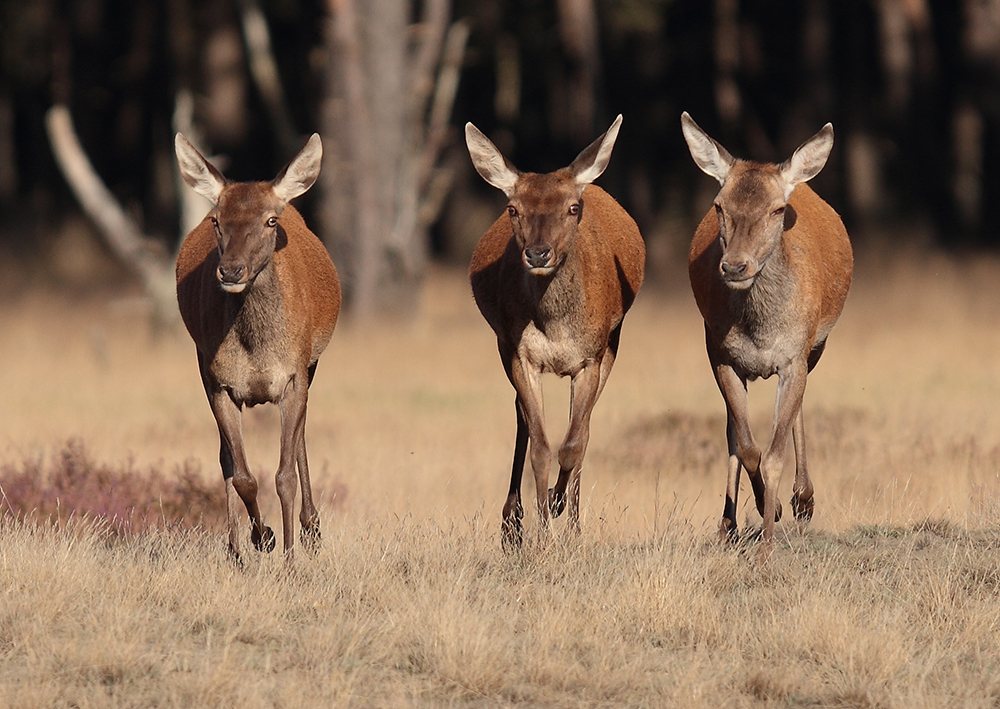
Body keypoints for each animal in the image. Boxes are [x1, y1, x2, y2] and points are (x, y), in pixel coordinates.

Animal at [174, 133, 342, 560]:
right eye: (216, 221)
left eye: (270, 220)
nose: (232, 271)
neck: (257, 350)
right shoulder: (219, 381)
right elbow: (244, 476)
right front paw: (262, 536)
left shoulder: (295, 373)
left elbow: (284, 476)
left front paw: (290, 558)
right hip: (200, 362)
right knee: (225, 458)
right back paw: (236, 548)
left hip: (312, 364)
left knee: (301, 440)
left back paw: (312, 527)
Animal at [464, 115, 644, 548]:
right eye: (513, 208)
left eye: (572, 208)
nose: (538, 253)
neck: (557, 326)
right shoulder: (520, 354)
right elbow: (542, 447)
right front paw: (542, 531)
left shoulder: (591, 356)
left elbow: (574, 444)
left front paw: (563, 510)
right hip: (503, 345)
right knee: (522, 417)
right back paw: (513, 521)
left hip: (612, 344)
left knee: (585, 427)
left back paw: (571, 520)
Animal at [684, 112, 856, 552]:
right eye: (719, 206)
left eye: (777, 210)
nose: (734, 266)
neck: (760, 330)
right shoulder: (721, 355)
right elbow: (747, 446)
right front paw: (767, 508)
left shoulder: (795, 354)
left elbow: (775, 452)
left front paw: (768, 540)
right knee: (732, 428)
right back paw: (727, 524)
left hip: (816, 346)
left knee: (799, 407)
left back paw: (804, 500)